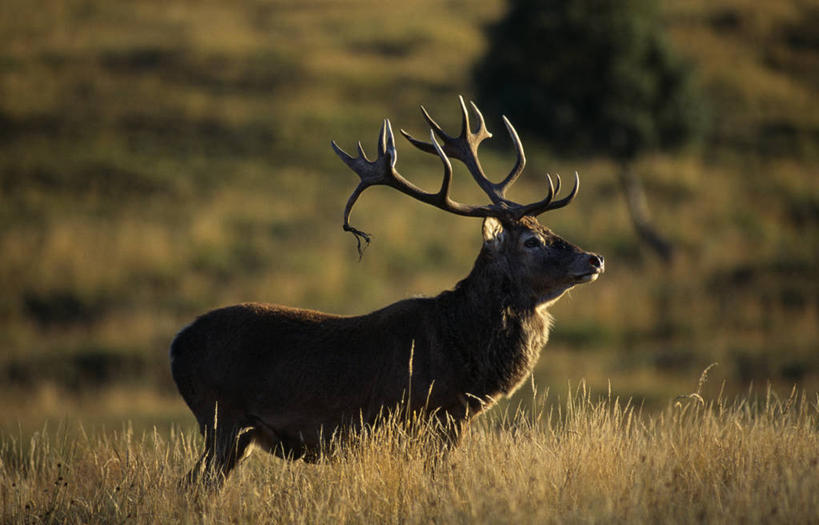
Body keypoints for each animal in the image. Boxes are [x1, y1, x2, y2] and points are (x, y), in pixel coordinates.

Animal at [171, 96, 604, 486]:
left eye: (547, 229)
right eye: (532, 241)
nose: (594, 258)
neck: (462, 348)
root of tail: (176, 346)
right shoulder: (424, 416)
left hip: (236, 432)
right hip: (220, 416)